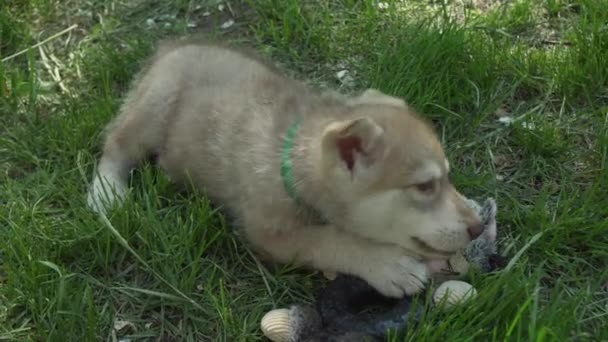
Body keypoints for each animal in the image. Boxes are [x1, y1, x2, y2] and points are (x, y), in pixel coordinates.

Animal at [86, 39, 484, 296]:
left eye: (448, 177)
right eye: (424, 186)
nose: (479, 228)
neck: (292, 158)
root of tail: (169, 47)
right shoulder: (266, 233)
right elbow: (327, 238)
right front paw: (387, 265)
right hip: (154, 105)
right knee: (114, 146)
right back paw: (106, 194)